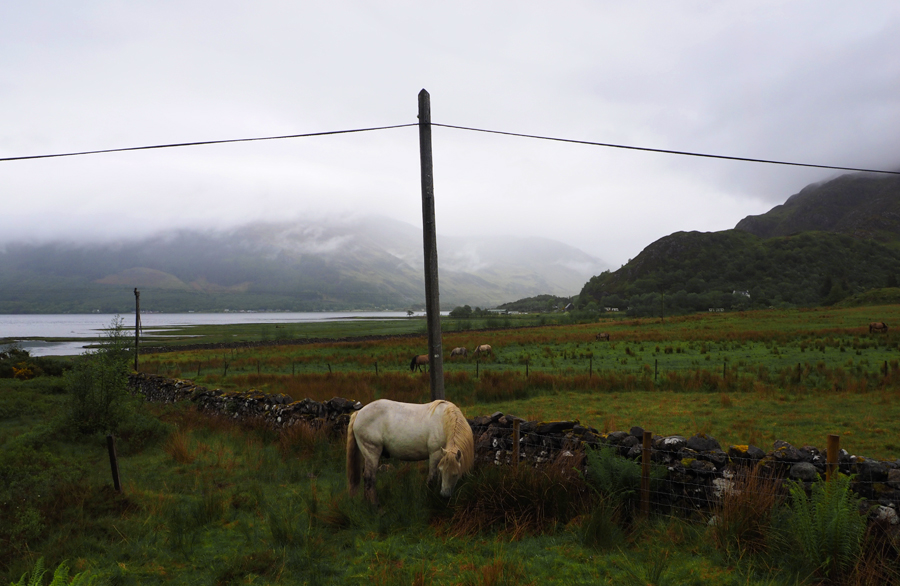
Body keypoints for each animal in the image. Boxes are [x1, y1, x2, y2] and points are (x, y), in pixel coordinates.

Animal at [344, 396, 474, 502]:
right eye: (443, 471)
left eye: (455, 474)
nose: (444, 495)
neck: (444, 421)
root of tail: (359, 413)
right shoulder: (435, 454)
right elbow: (432, 479)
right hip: (372, 453)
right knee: (369, 479)